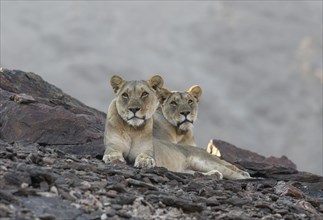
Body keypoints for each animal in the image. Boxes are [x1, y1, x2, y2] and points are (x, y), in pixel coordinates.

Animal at [103, 75, 251, 180]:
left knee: (234, 173)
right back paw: (214, 175)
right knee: (197, 173)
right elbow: (113, 153)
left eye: (144, 94)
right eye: (125, 95)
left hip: (205, 162)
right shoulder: (113, 146)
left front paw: (145, 162)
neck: (132, 129)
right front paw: (113, 159)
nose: (134, 109)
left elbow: (145, 156)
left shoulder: (146, 149)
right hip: (189, 169)